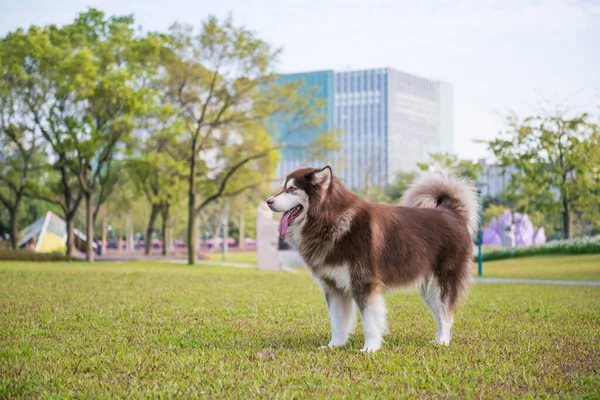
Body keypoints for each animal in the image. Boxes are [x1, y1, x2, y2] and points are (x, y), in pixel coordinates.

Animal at [268, 166, 478, 354]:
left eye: (292, 189)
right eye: (284, 187)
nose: (268, 201)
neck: (332, 221)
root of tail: (451, 212)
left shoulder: (364, 283)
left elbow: (369, 321)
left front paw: (370, 348)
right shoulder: (333, 287)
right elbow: (337, 321)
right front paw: (334, 345)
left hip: (441, 283)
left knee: (446, 315)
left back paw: (442, 342)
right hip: (428, 290)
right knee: (441, 314)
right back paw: (437, 340)